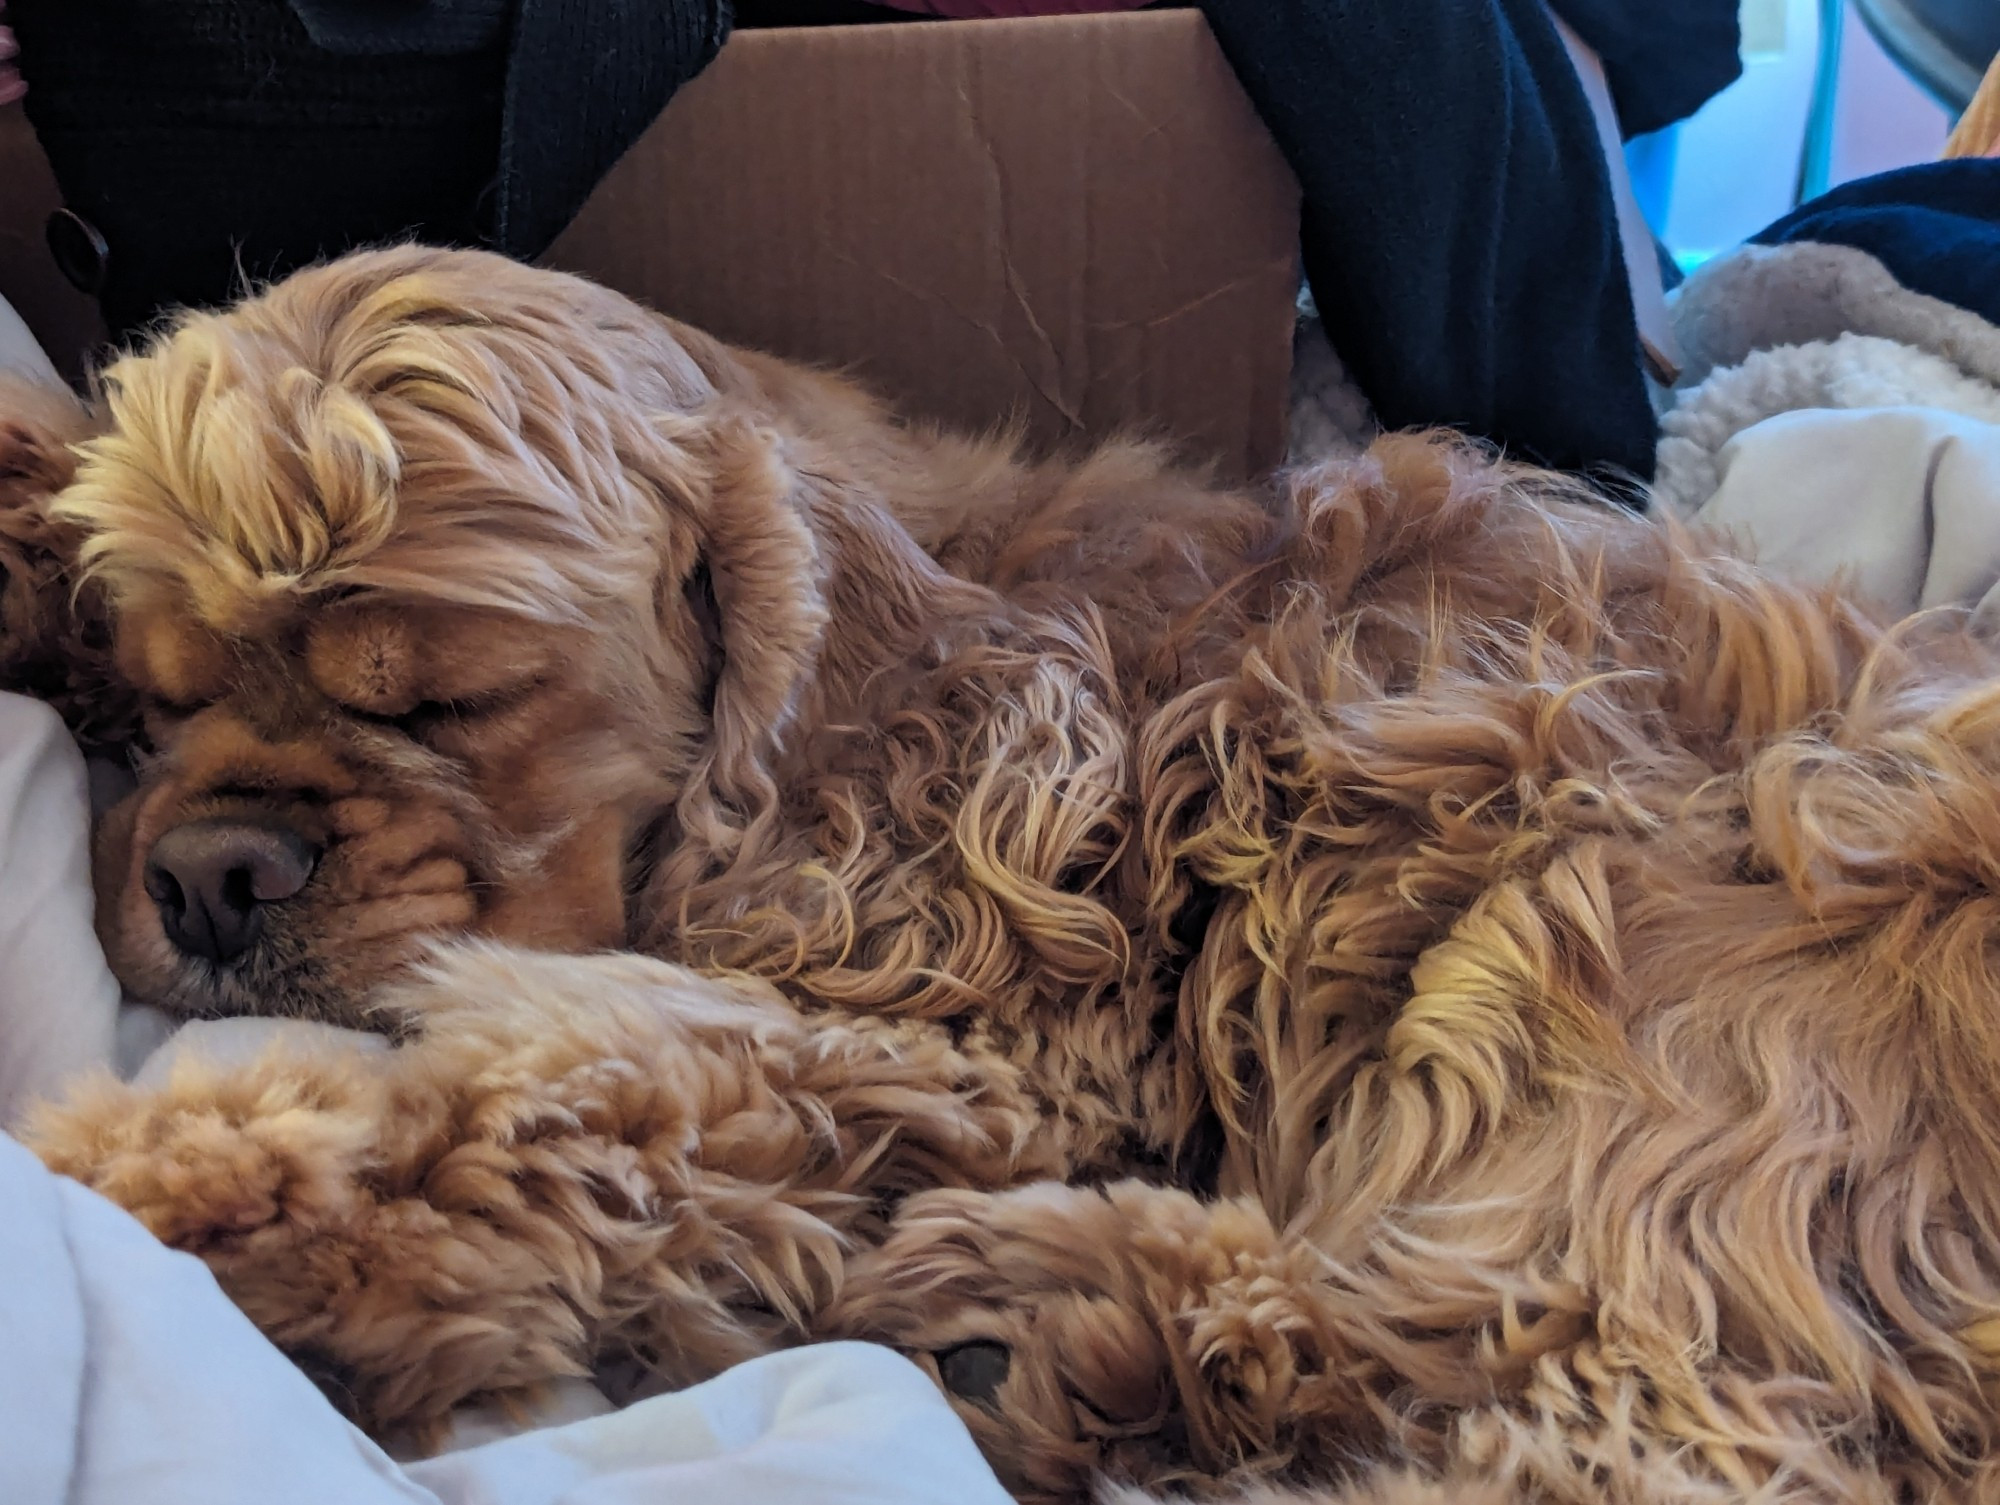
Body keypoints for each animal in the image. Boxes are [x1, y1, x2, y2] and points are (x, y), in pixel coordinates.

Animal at [19, 247, 2000, 1505]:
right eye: (162, 695)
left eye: (450, 699)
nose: (206, 875)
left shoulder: (977, 1059)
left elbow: (546, 1108)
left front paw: (190, 1191)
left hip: (1638, 930)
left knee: (1602, 1408)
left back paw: (1049, 1314)